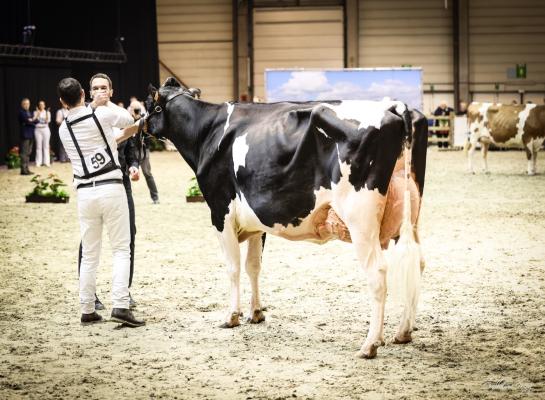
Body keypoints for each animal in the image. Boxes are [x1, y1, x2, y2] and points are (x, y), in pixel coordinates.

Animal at [144, 76, 430, 358]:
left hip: (360, 218)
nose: (141, 127)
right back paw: (403, 332)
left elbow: (233, 267)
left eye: (148, 105)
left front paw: (231, 316)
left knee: (378, 273)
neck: (208, 132)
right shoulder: (256, 221)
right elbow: (253, 266)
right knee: (417, 263)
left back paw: (370, 344)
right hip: (410, 216)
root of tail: (394, 106)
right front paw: (256, 313)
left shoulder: (220, 210)